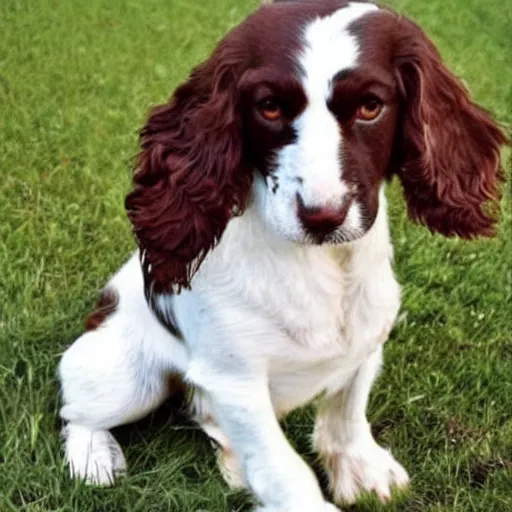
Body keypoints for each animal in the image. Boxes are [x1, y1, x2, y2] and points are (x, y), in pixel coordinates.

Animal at [58, 2, 506, 510]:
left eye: (370, 106)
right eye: (269, 106)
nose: (322, 217)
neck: (325, 265)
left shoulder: (368, 340)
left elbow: (347, 407)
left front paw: (361, 468)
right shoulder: (235, 379)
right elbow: (282, 466)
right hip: (127, 374)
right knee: (75, 408)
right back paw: (94, 458)